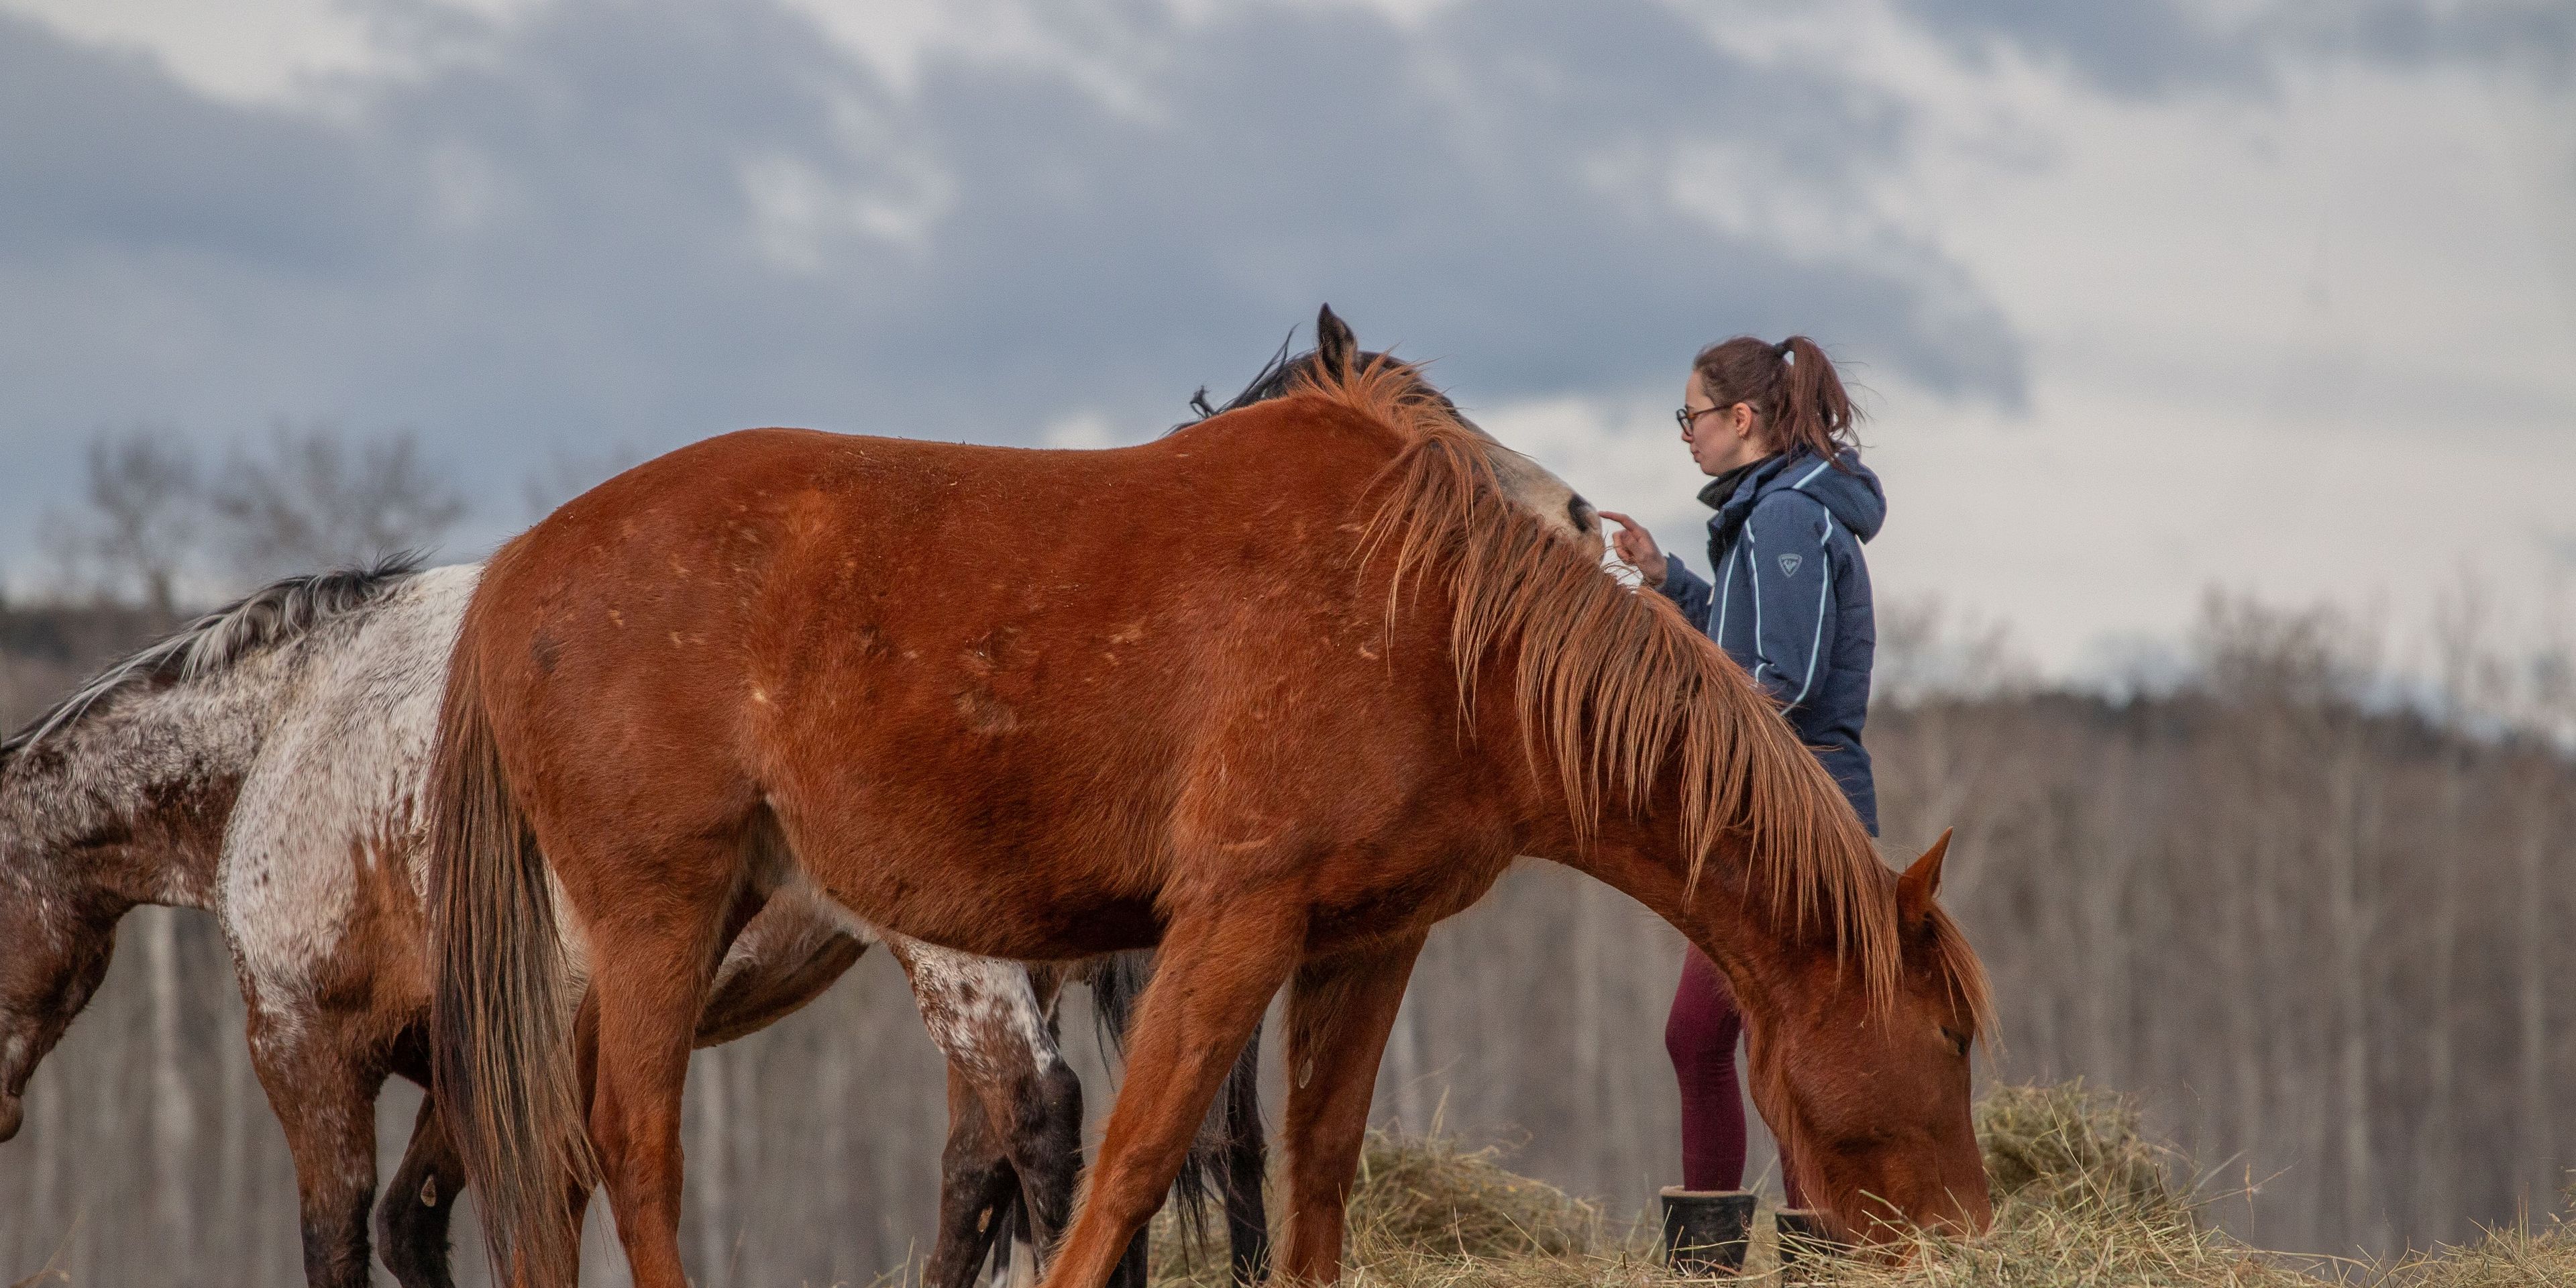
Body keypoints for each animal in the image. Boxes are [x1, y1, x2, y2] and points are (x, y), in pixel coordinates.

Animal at [0, 558, 1266, 1288]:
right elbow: (432, 1227)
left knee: (1041, 1118)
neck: (298, 722)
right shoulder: (490, 1052)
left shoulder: (307, 1046)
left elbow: (347, 1239)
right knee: (995, 1159)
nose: (2, 1114)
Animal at [424, 303, 1997, 1288]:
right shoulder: (1232, 925)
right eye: (1949, 1039)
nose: (1968, 1236)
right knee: (632, 1149)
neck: (1433, 625)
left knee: (547, 1156)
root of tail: (514, 571)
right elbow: (1134, 1163)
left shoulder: (1366, 946)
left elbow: (1314, 1171)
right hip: (657, 913)